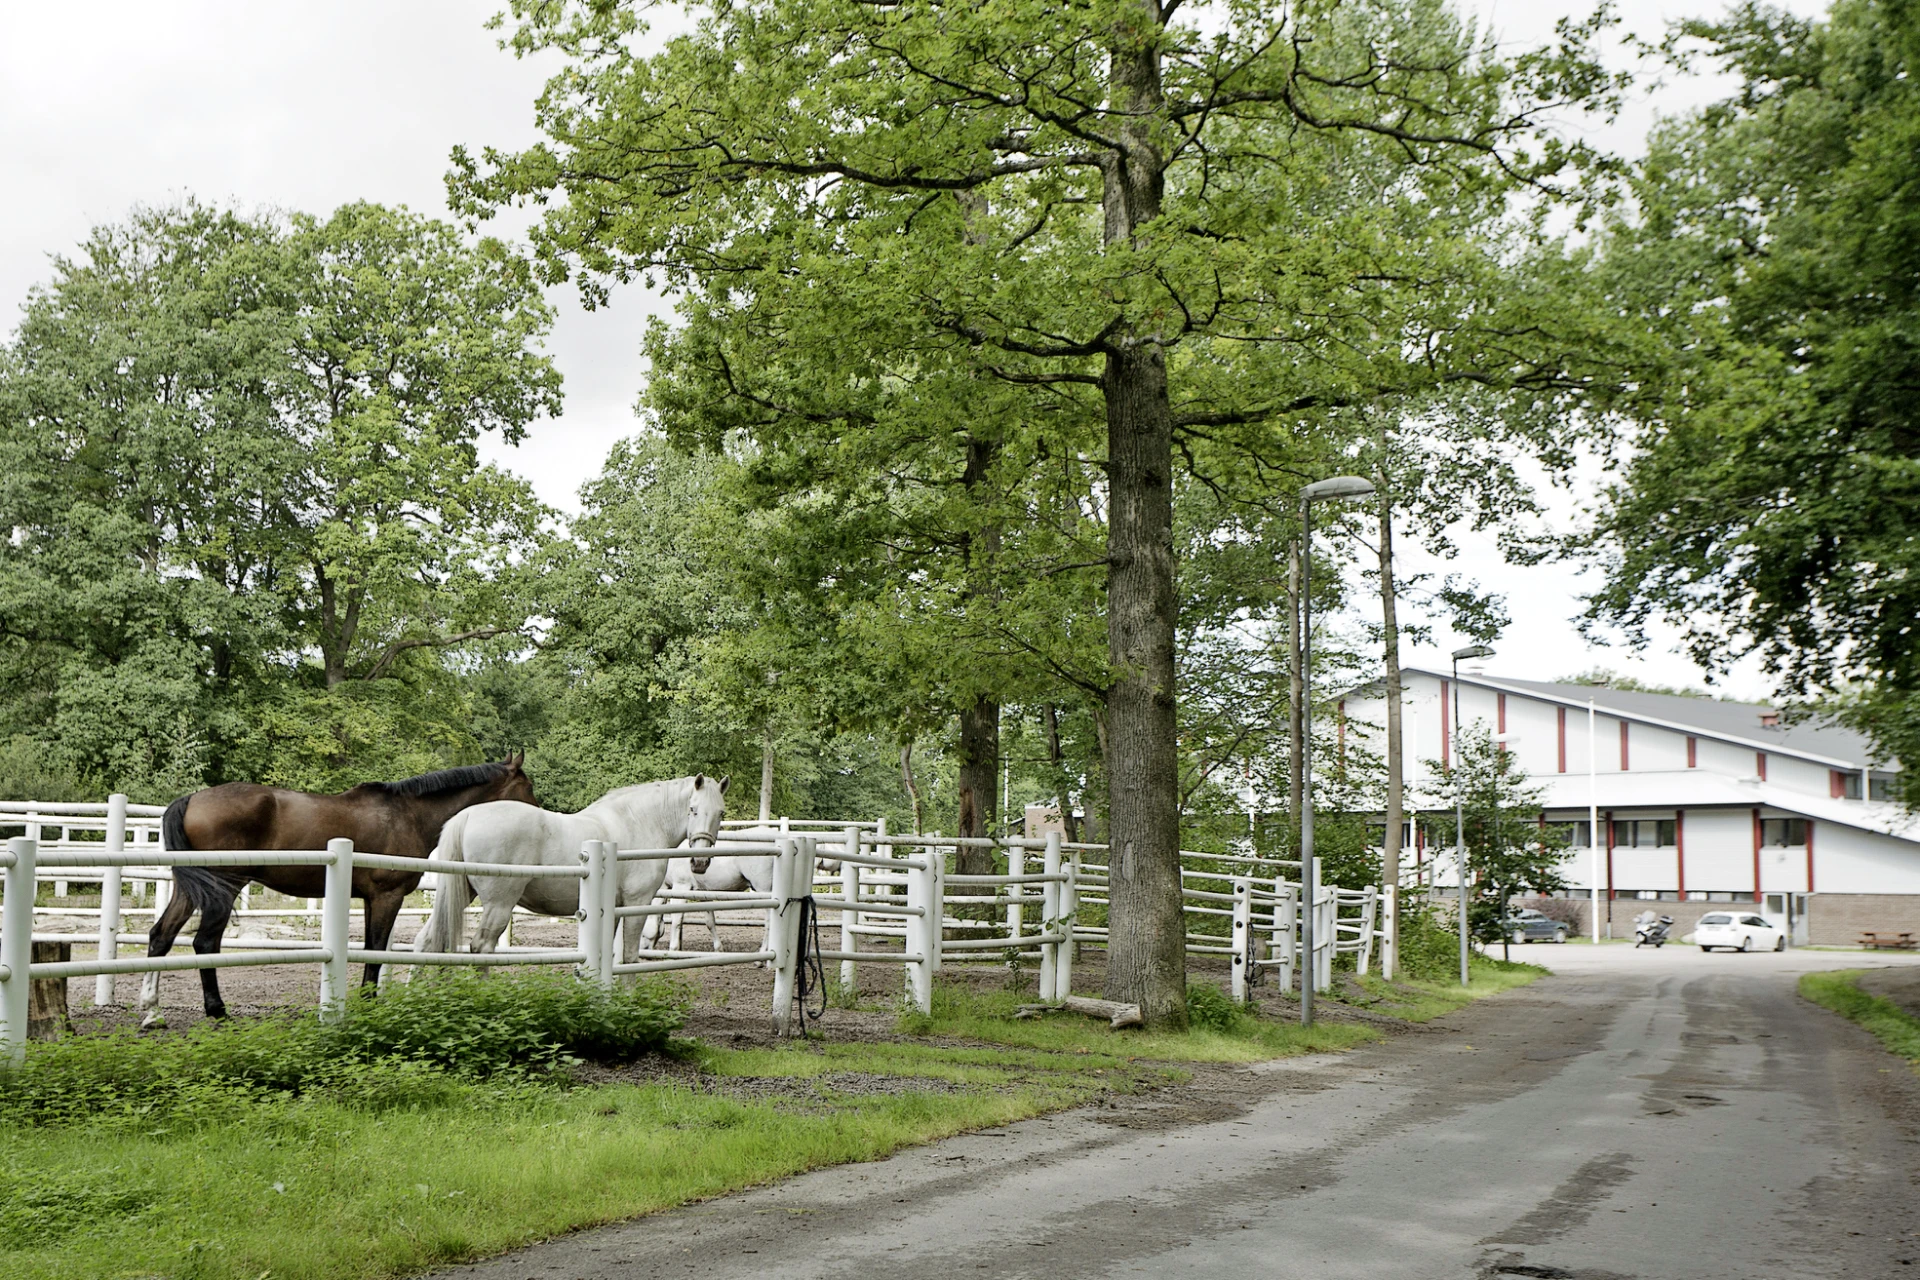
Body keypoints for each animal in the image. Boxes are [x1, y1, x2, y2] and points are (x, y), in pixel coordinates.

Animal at [141, 756, 537, 1028]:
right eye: (527, 787)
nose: (540, 813)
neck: (407, 814)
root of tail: (191, 800)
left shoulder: (369, 899)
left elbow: (372, 949)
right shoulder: (387, 896)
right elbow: (375, 950)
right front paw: (369, 1002)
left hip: (189, 889)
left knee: (161, 935)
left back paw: (151, 1011)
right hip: (224, 889)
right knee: (205, 942)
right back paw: (216, 1010)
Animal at [412, 771, 725, 971]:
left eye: (720, 812)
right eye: (693, 809)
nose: (699, 863)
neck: (638, 822)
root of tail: (467, 815)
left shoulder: (611, 910)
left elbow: (608, 953)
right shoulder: (637, 905)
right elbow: (629, 956)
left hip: (461, 895)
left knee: (427, 942)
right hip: (498, 904)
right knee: (481, 949)